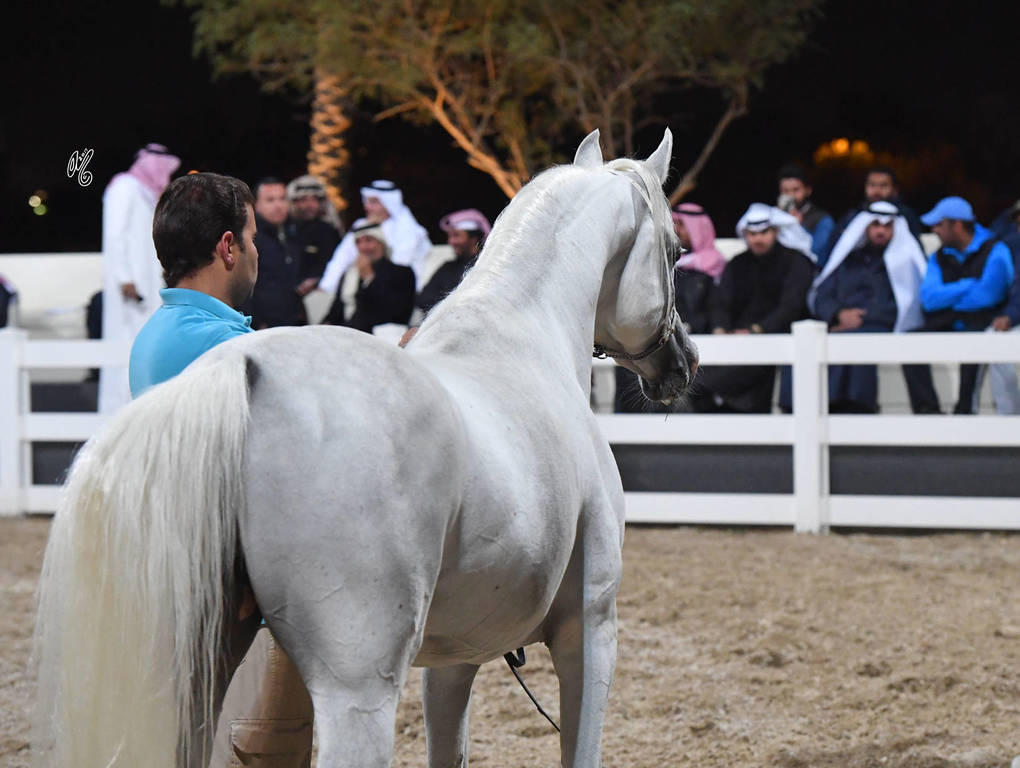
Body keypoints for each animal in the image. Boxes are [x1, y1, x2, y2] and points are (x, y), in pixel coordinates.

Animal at [32, 129, 699, 768]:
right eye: (675, 252)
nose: (684, 362)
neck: (519, 341)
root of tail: (237, 376)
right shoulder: (590, 630)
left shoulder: (455, 658)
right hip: (358, 687)